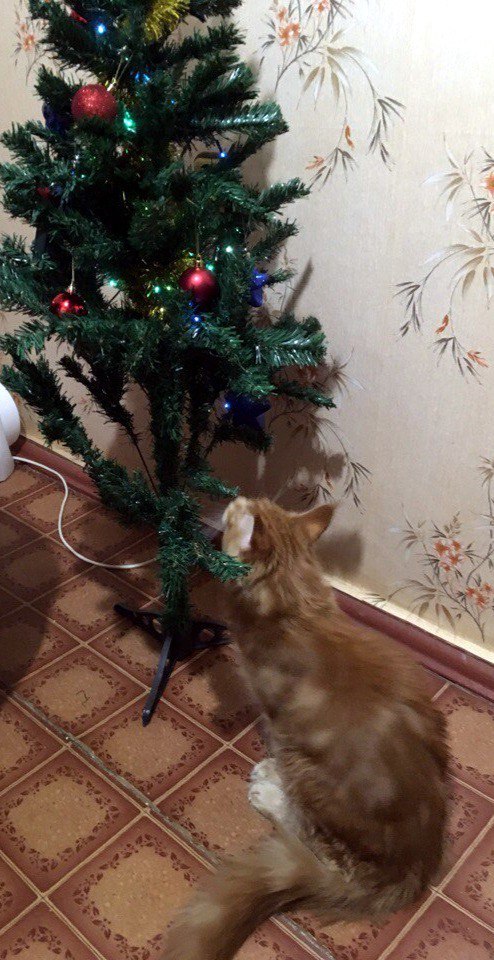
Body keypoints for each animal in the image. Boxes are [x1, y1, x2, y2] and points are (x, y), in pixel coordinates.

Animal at [165, 498, 448, 956]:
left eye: (238, 513)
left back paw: (270, 795)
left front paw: (270, 775)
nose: (233, 497)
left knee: (308, 834)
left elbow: (274, 742)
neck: (295, 605)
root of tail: (411, 870)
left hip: (310, 771)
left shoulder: (278, 717)